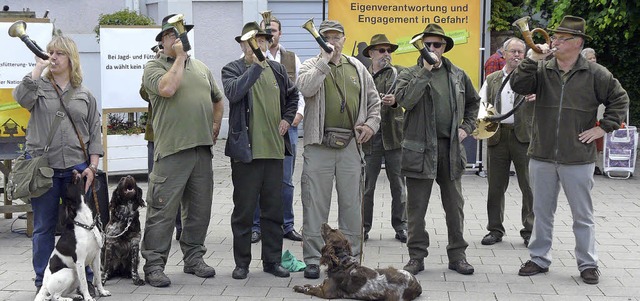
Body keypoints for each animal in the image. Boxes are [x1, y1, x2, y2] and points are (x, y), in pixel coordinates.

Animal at [35, 170, 111, 300]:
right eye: (69, 185)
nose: (73, 171)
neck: (86, 225)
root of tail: (44, 285)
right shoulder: (80, 261)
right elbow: (84, 283)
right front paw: (88, 297)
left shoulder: (96, 257)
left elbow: (98, 278)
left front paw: (102, 292)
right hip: (69, 272)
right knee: (55, 296)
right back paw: (68, 298)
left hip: (74, 274)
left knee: (63, 292)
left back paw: (76, 296)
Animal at [292, 223, 422, 300]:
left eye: (332, 231)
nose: (323, 223)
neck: (341, 262)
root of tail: (417, 285)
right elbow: (314, 285)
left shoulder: (326, 292)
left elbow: (310, 289)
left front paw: (299, 287)